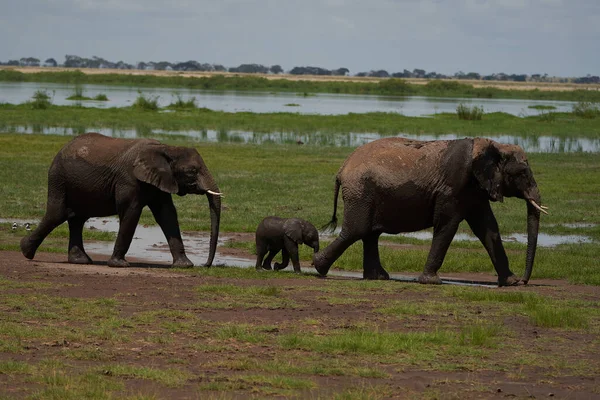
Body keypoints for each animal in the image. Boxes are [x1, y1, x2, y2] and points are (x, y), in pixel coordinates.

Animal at [21, 133, 224, 268]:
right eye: (192, 172)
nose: (205, 265)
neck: (167, 148)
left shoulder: (160, 180)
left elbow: (167, 214)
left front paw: (185, 265)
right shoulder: (128, 179)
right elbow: (131, 212)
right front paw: (119, 264)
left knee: (76, 219)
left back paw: (81, 261)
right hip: (58, 178)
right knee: (57, 214)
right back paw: (25, 251)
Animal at [314, 138, 548, 288]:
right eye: (523, 173)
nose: (524, 281)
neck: (494, 146)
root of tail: (342, 168)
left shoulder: (476, 190)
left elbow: (488, 229)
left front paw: (510, 282)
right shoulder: (453, 188)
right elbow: (447, 225)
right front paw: (432, 282)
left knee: (369, 234)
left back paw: (378, 277)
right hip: (361, 192)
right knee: (357, 231)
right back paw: (319, 267)